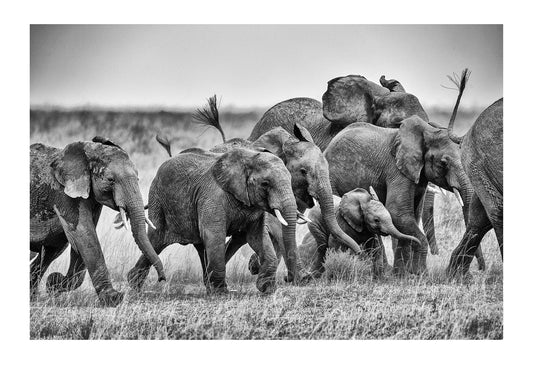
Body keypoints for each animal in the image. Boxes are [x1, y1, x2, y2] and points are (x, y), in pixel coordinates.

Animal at [30, 136, 164, 306]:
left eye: (138, 177)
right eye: (110, 180)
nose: (161, 279)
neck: (88, 152)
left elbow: (80, 242)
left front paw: (54, 282)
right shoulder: (64, 194)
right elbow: (84, 236)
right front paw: (113, 299)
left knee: (51, 250)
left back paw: (33, 298)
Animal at [125, 145, 300, 292]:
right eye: (265, 183)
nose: (288, 278)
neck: (248, 158)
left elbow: (256, 237)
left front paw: (266, 289)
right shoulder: (213, 197)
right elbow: (214, 235)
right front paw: (221, 293)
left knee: (199, 246)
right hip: (158, 199)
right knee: (156, 239)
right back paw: (133, 285)